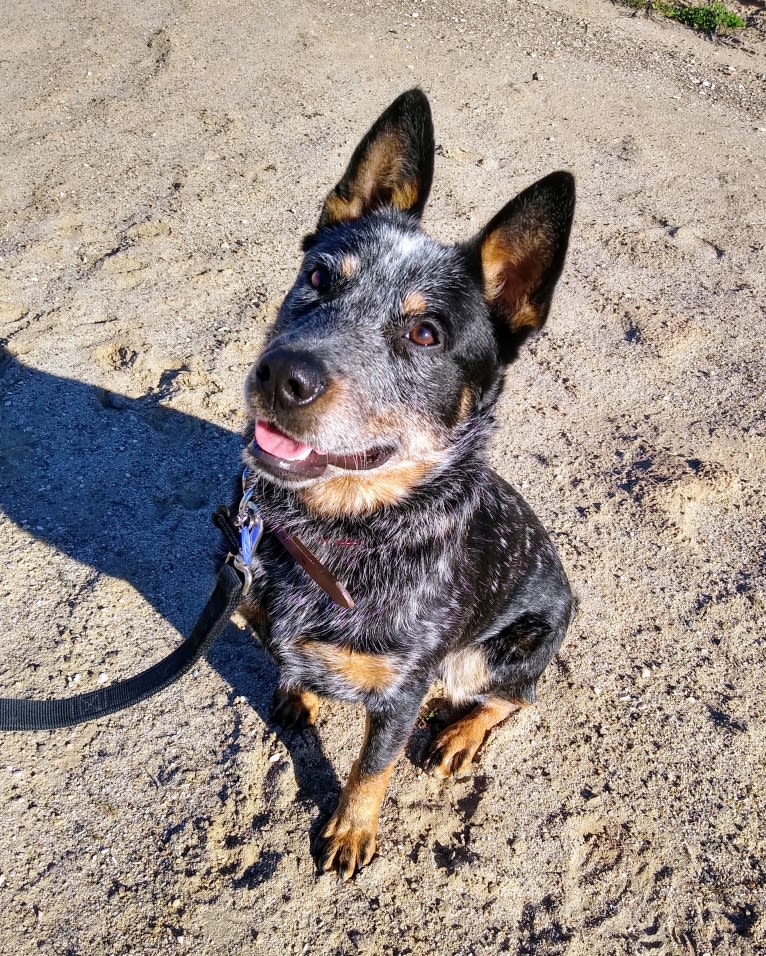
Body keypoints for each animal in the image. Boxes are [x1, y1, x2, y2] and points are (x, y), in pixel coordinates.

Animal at [225, 91, 580, 880]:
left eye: (425, 334)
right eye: (320, 277)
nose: (282, 375)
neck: (341, 534)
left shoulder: (402, 689)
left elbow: (371, 768)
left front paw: (349, 831)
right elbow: (291, 666)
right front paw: (298, 692)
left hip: (501, 650)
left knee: (516, 697)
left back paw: (458, 735)